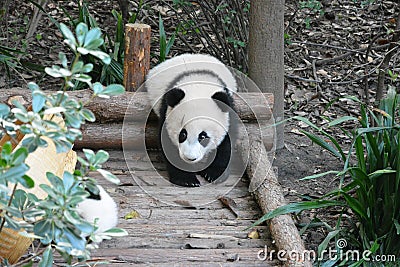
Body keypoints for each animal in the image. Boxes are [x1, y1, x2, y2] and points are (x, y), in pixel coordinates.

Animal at [145, 53, 236, 187]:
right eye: (182, 134)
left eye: (203, 136)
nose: (190, 158)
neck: (199, 86)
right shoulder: (167, 111)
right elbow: (167, 144)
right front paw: (187, 180)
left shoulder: (228, 108)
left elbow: (227, 142)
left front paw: (213, 174)